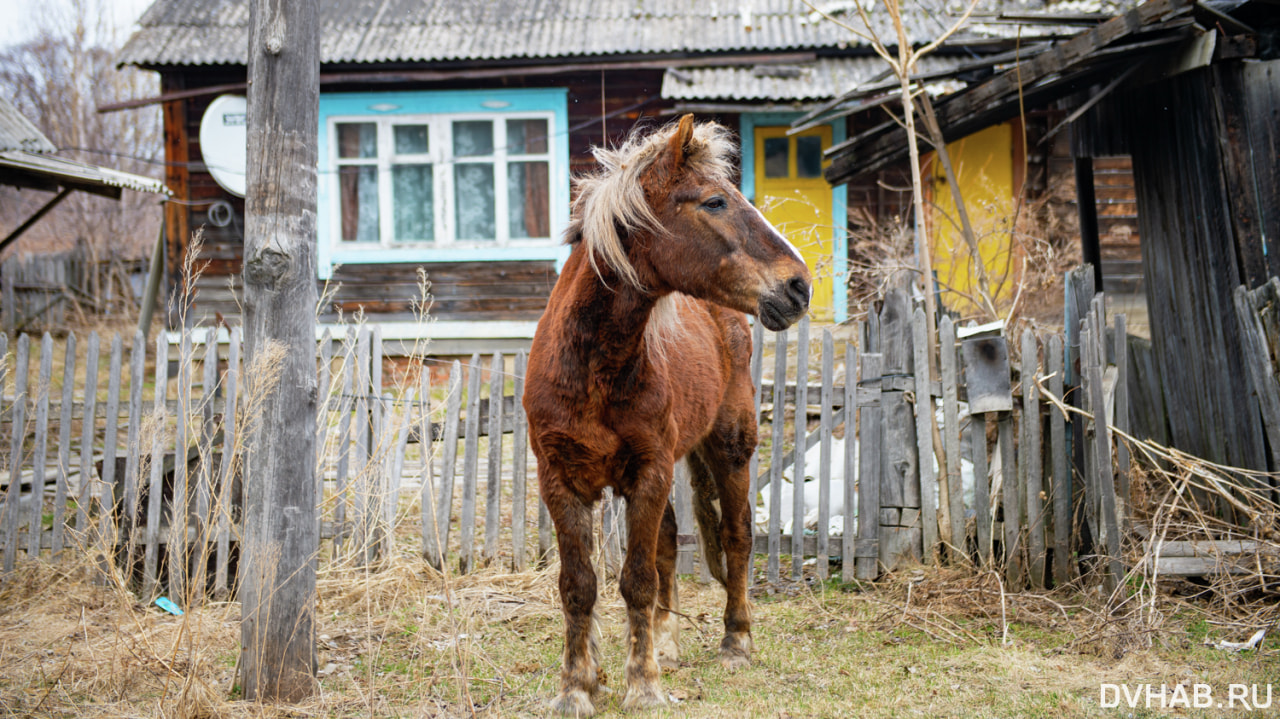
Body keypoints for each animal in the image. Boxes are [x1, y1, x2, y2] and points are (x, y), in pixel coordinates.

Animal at [522, 113, 808, 711]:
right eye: (714, 202)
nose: (798, 286)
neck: (595, 367)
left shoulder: (648, 473)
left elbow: (636, 578)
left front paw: (644, 686)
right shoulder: (562, 481)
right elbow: (580, 585)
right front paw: (578, 687)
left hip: (730, 447)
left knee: (736, 536)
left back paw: (736, 641)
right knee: (670, 546)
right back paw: (667, 643)